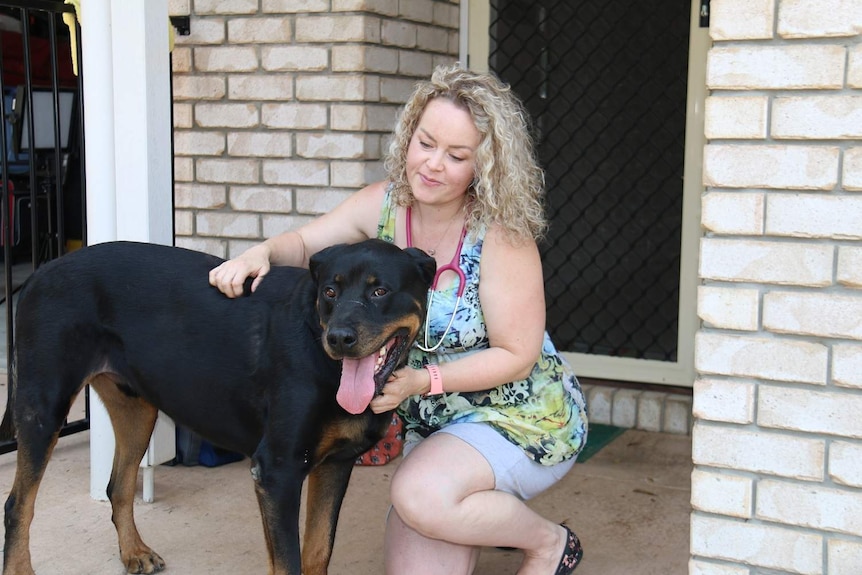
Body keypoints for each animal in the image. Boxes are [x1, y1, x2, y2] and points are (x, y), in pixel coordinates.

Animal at [0, 238, 436, 575]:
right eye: (329, 291)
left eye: (380, 291)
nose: (340, 338)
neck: (320, 352)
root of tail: (41, 272)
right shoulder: (277, 471)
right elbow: (289, 562)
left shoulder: (335, 465)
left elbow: (317, 552)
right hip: (44, 407)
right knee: (18, 504)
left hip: (137, 408)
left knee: (117, 487)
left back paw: (134, 552)